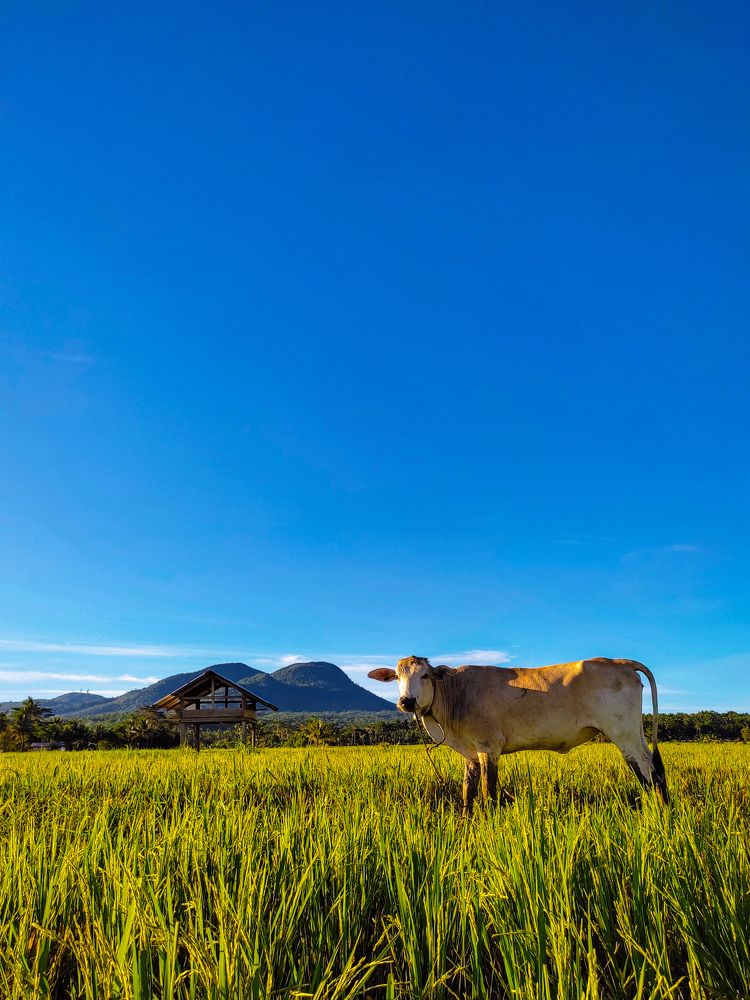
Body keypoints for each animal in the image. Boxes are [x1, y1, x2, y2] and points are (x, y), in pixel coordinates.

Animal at [368, 655, 669, 811]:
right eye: (397, 677)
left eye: (425, 676)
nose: (406, 701)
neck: (456, 693)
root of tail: (620, 661)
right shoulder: (471, 755)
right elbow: (468, 792)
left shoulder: (489, 747)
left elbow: (488, 792)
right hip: (635, 733)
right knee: (655, 767)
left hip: (624, 735)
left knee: (648, 773)